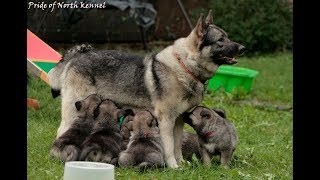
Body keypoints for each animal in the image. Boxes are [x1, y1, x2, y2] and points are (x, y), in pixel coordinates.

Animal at [48, 9, 245, 167]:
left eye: (227, 36)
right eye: (221, 40)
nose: (242, 48)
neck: (184, 65)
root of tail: (80, 53)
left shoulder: (179, 121)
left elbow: (177, 146)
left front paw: (181, 164)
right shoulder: (166, 121)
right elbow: (169, 147)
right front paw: (173, 167)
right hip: (73, 108)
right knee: (61, 131)